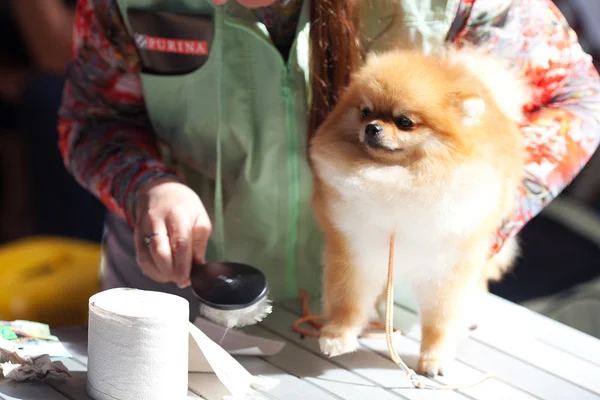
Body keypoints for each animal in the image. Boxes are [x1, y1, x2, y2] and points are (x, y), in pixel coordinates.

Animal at [310, 46, 528, 376]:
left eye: (404, 122)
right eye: (365, 111)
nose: (371, 127)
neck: (400, 180)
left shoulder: (449, 266)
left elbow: (442, 320)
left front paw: (435, 357)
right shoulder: (356, 251)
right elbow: (348, 300)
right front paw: (338, 337)